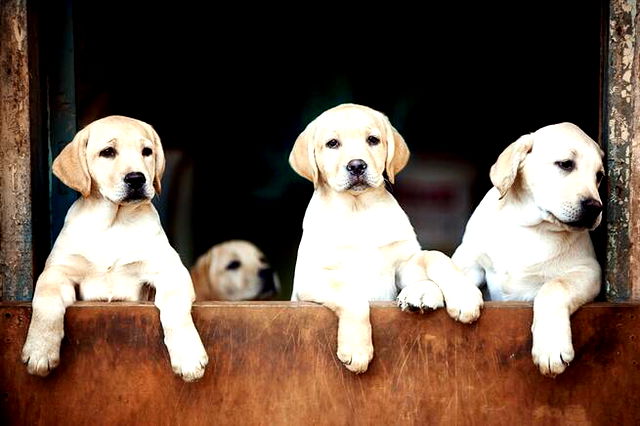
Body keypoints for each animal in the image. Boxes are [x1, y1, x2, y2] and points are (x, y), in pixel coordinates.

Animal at [20, 115, 208, 382]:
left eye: (147, 151)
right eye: (108, 152)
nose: (137, 178)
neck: (113, 221)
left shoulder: (170, 271)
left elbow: (175, 308)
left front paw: (188, 355)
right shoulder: (57, 271)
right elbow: (45, 300)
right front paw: (40, 349)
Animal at [288, 103, 480, 372]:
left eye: (373, 140)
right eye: (332, 143)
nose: (357, 166)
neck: (358, 209)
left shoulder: (402, 263)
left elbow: (435, 256)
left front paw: (464, 295)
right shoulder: (310, 279)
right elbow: (352, 296)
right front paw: (357, 350)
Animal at [452, 122, 604, 376]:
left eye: (599, 176)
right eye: (566, 164)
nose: (595, 208)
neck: (529, 226)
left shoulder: (588, 270)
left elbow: (555, 286)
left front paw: (551, 347)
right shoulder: (471, 258)